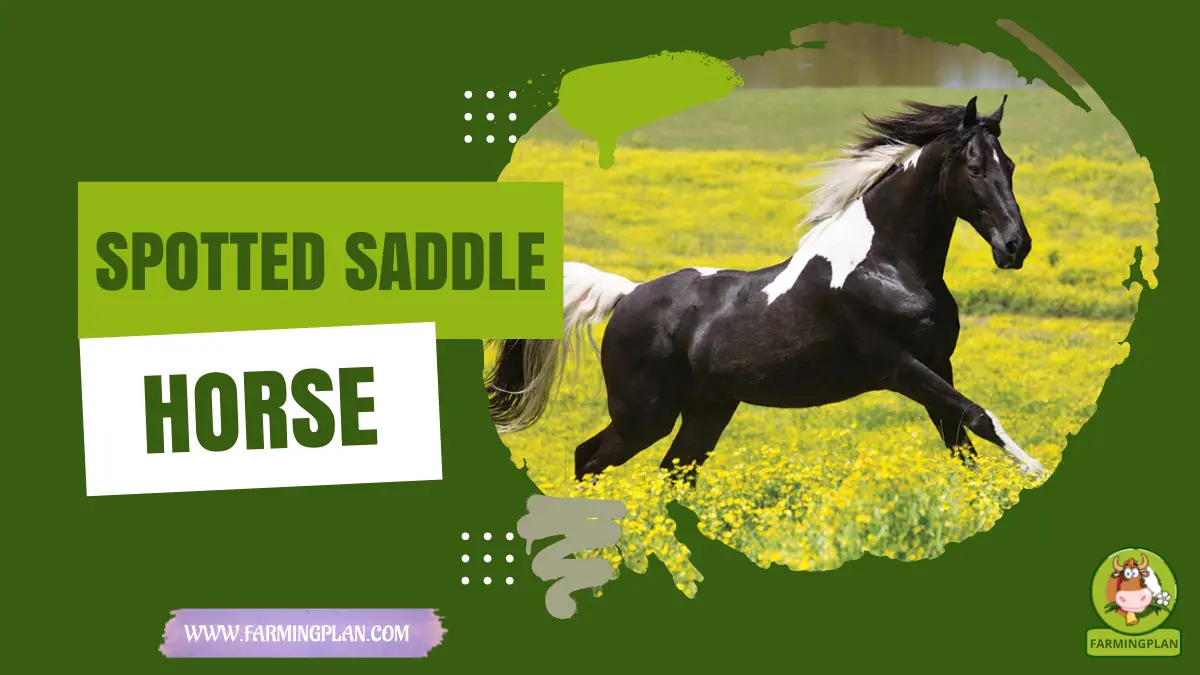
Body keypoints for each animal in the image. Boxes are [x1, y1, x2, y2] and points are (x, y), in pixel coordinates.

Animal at [485, 95, 1046, 486]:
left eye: (1011, 166)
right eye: (975, 168)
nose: (1015, 246)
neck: (885, 264)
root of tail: (627, 295)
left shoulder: (937, 365)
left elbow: (962, 444)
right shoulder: (899, 367)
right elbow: (980, 417)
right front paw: (1034, 469)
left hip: (706, 411)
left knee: (673, 472)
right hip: (643, 414)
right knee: (588, 458)